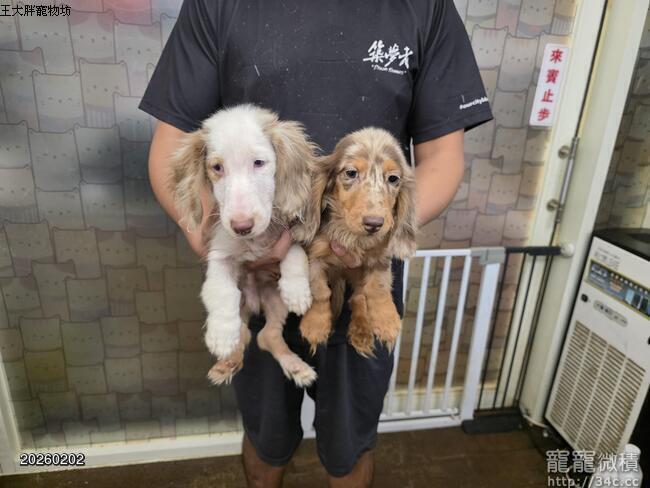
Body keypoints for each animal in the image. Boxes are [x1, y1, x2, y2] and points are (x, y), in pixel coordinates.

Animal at [169, 104, 319, 386]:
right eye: (217, 167)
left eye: (259, 163)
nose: (242, 226)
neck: (252, 241)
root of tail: (254, 303)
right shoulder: (218, 255)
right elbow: (222, 291)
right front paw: (221, 334)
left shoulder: (289, 233)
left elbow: (296, 254)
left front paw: (297, 291)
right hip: (242, 305)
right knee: (245, 334)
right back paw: (227, 361)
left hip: (274, 299)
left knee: (265, 336)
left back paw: (296, 367)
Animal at [299, 127, 417, 356]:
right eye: (351, 173)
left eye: (393, 178)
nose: (374, 224)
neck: (351, 235)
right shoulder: (314, 258)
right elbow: (319, 291)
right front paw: (315, 324)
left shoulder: (379, 257)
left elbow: (377, 288)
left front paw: (387, 320)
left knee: (358, 297)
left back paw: (361, 331)